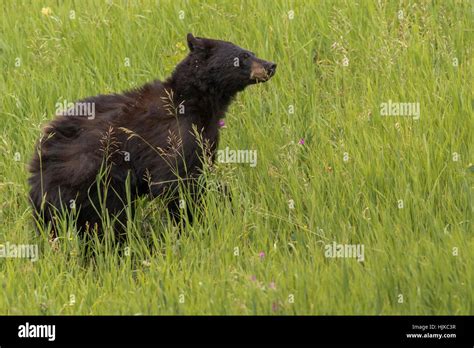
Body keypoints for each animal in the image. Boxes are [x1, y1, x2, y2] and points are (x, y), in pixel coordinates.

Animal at [27, 33, 276, 239]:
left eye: (251, 51)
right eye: (243, 55)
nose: (271, 65)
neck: (194, 102)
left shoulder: (205, 136)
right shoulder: (175, 135)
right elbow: (173, 183)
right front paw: (194, 221)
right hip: (88, 183)